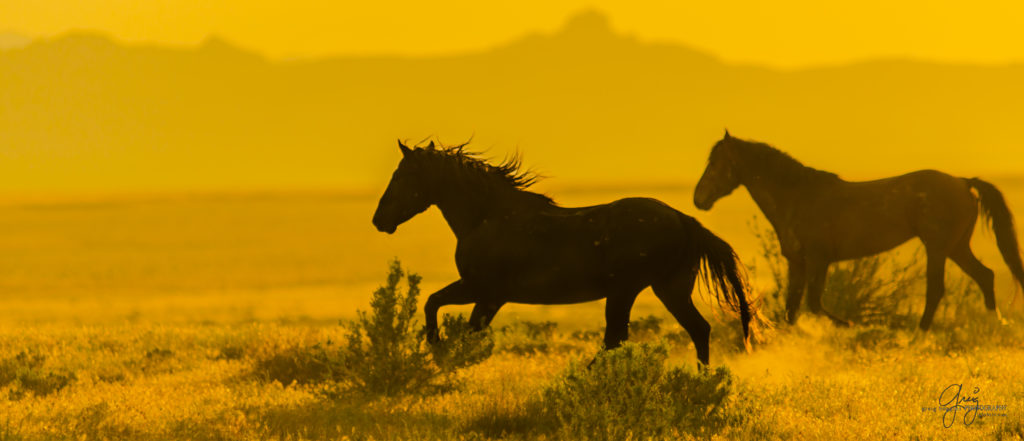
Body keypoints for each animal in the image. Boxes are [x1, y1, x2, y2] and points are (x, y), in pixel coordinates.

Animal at [372, 141, 749, 366]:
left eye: (401, 175)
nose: (379, 219)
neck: (487, 215)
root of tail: (684, 220)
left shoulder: (485, 291)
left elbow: (439, 307)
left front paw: (440, 353)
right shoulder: (485, 293)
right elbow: (444, 311)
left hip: (627, 290)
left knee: (618, 338)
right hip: (668, 289)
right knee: (697, 329)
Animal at [696, 129, 1024, 329]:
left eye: (715, 163)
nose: (698, 198)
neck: (798, 197)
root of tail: (963, 182)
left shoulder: (819, 260)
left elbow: (813, 304)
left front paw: (849, 325)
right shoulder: (797, 262)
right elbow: (792, 308)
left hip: (938, 248)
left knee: (937, 290)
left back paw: (918, 336)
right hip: (956, 247)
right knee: (985, 276)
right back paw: (995, 324)